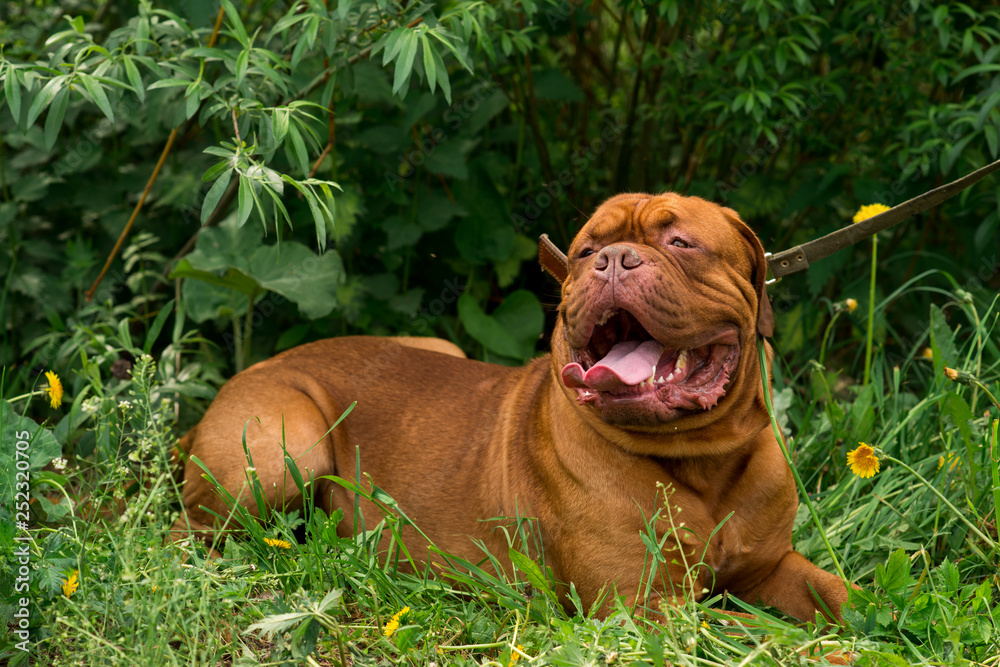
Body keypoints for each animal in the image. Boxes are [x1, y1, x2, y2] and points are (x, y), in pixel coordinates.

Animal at [174, 192, 852, 620]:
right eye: (586, 251)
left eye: (681, 241)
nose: (614, 259)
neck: (701, 461)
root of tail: (248, 371)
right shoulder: (647, 608)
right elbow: (770, 637)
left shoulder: (770, 568)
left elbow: (840, 594)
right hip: (284, 451)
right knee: (196, 530)